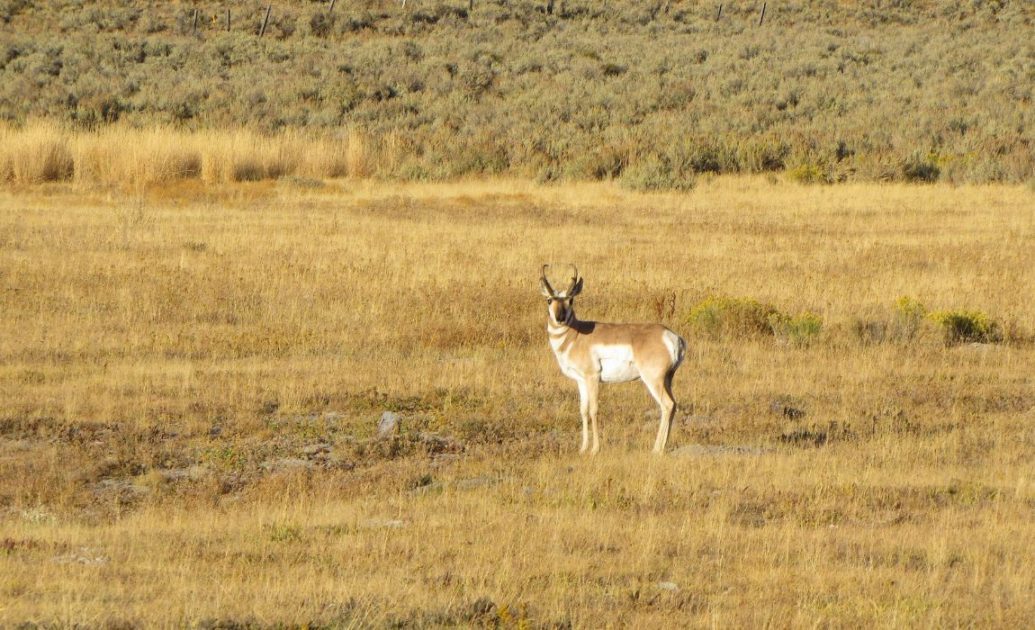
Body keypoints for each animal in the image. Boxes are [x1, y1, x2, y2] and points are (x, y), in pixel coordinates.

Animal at [542, 263, 687, 451]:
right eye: (549, 300)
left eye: (571, 300)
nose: (560, 318)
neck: (577, 335)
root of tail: (671, 336)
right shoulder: (581, 381)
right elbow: (583, 411)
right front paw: (583, 449)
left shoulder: (592, 378)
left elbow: (594, 409)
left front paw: (595, 449)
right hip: (667, 380)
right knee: (673, 405)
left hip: (653, 380)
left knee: (667, 405)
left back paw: (656, 450)